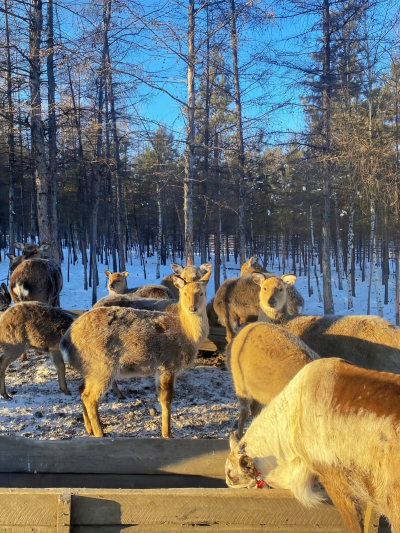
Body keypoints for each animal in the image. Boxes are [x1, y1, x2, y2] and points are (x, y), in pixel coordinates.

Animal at [60, 268, 212, 438]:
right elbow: (167, 400)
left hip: (90, 368)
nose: (193, 308)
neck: (187, 334)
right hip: (102, 364)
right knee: (90, 397)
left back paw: (90, 429)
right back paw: (100, 433)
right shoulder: (168, 364)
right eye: (184, 293)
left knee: (81, 389)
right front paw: (167, 434)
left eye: (202, 293)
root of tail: (65, 341)